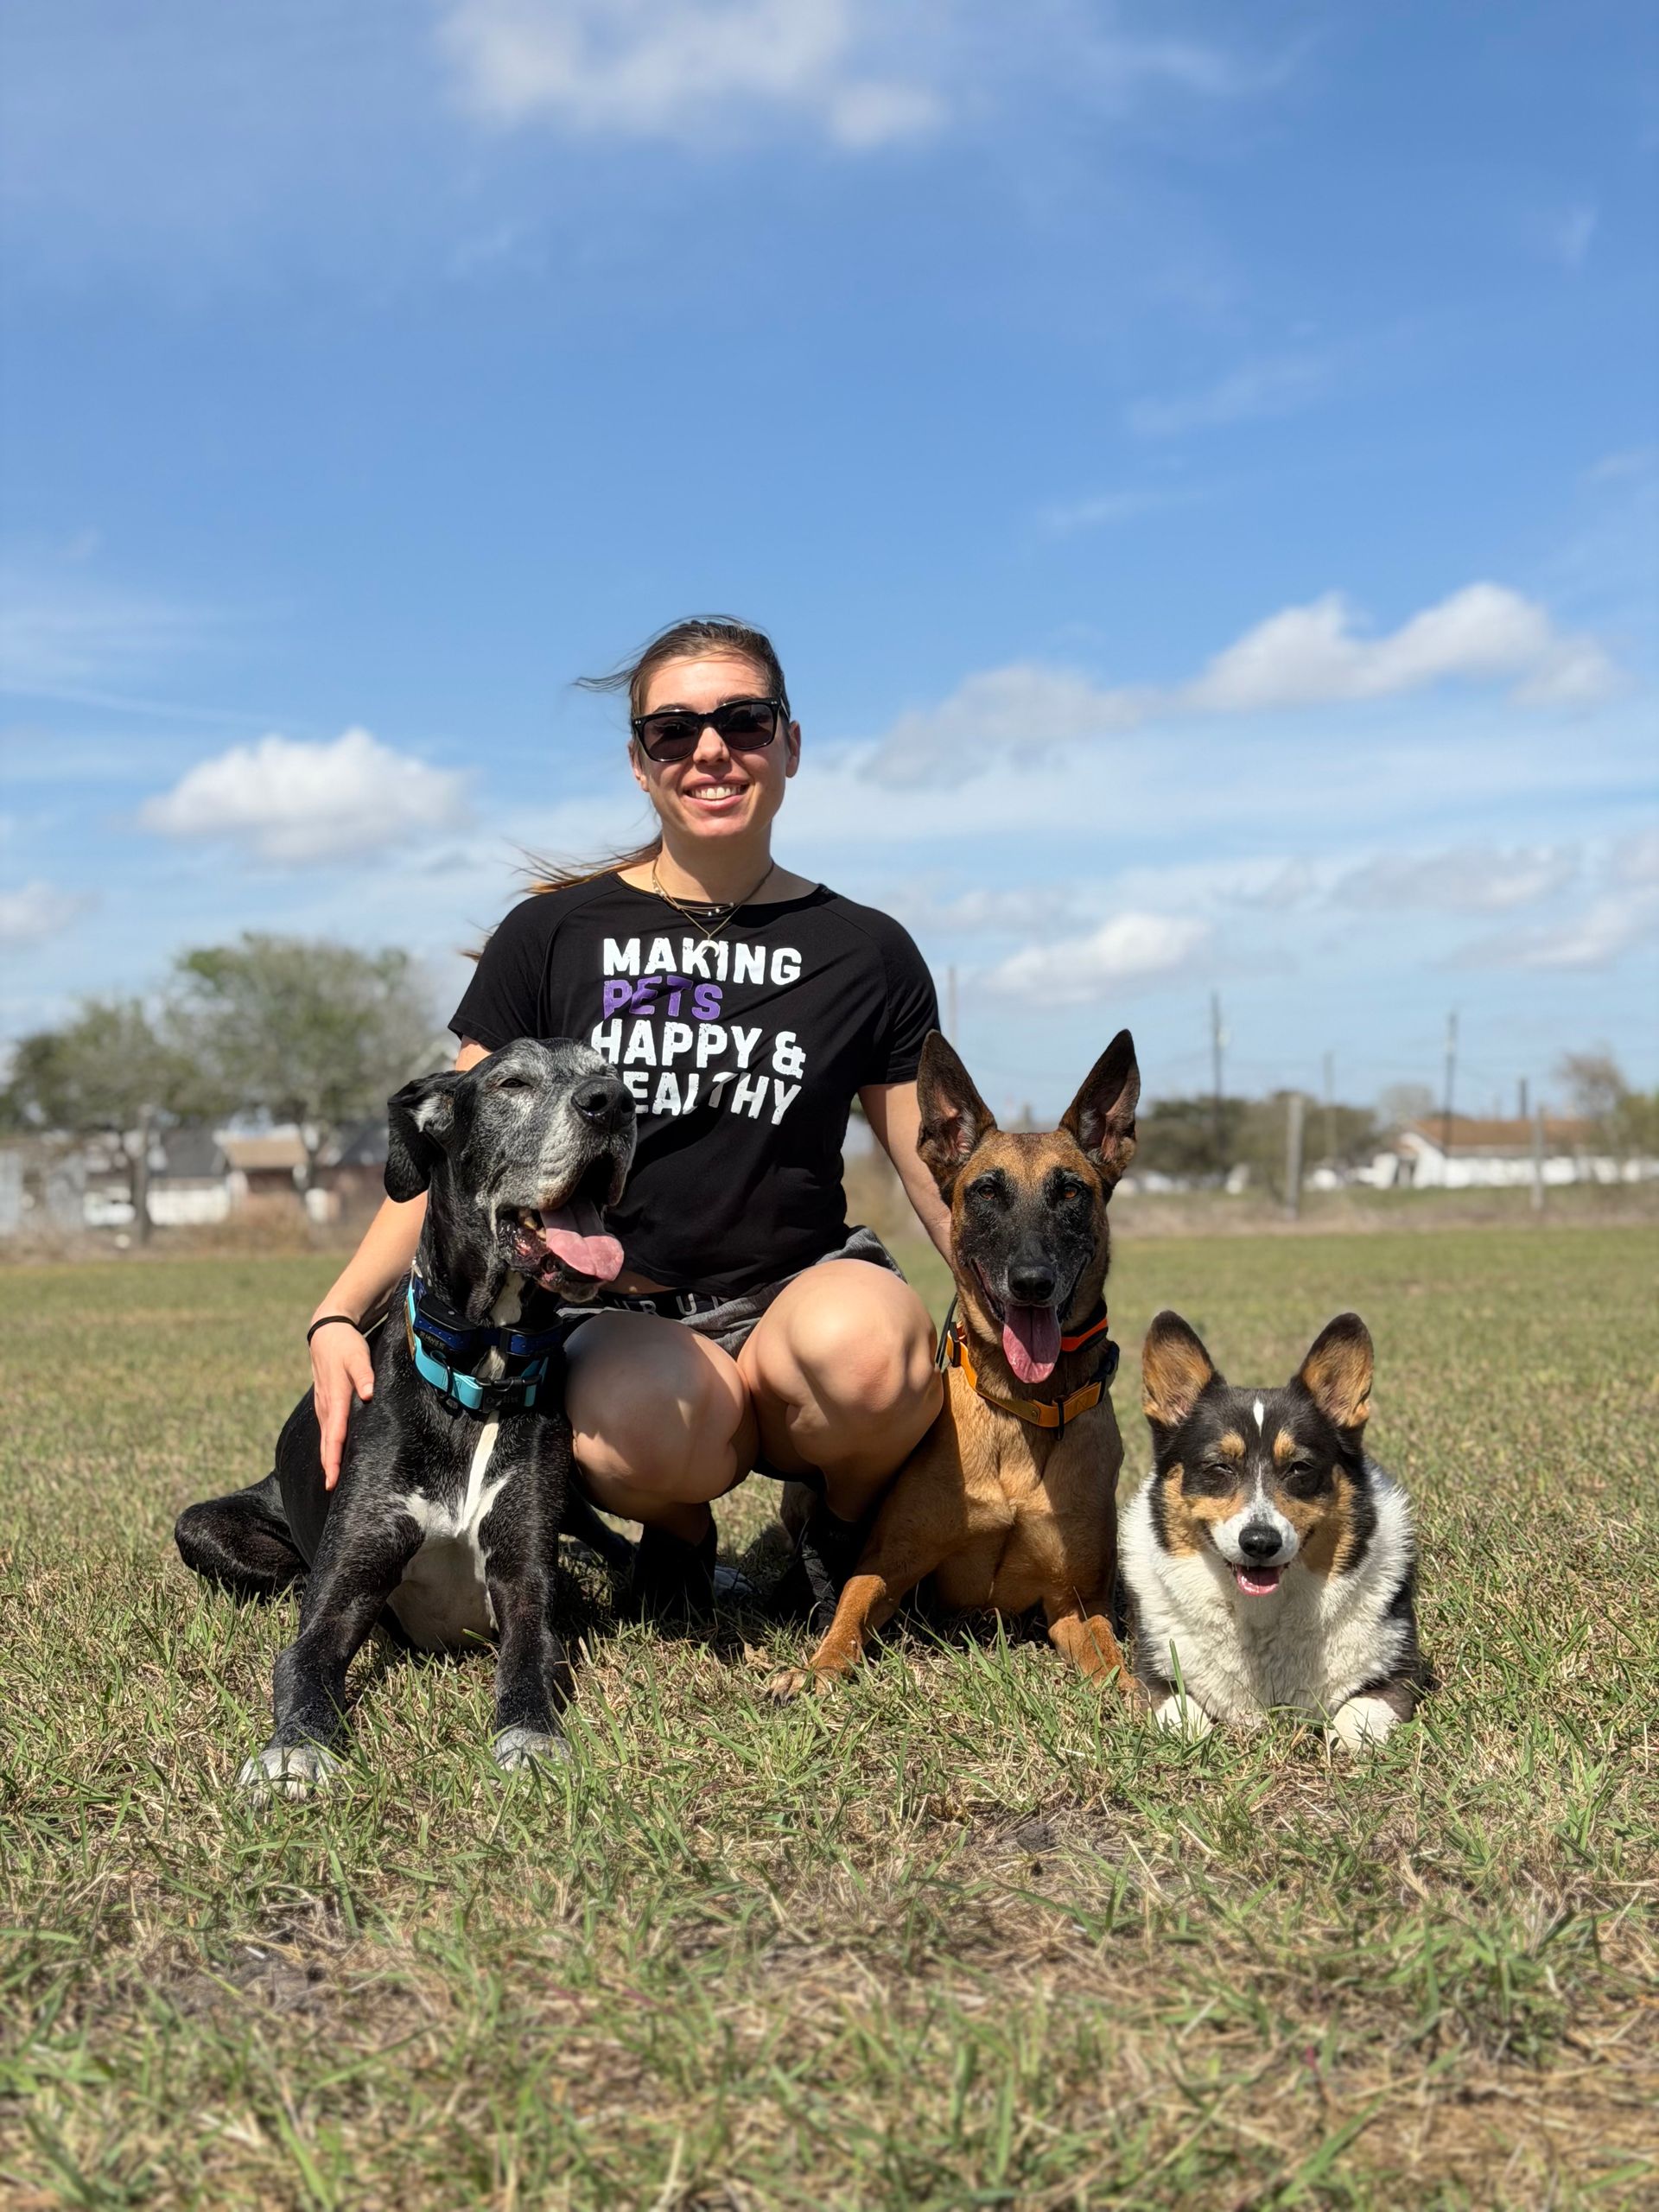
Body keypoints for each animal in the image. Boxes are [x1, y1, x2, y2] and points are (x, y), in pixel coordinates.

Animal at [225, 1038, 635, 1794]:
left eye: (612, 1074)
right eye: (511, 1083)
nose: (613, 1104)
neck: (479, 1375)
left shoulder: (524, 1577)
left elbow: (529, 1656)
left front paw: (532, 1738)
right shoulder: (344, 1585)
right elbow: (303, 1660)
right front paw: (294, 1750)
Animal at [769, 1028, 1139, 1698]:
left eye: (1070, 1191)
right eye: (987, 1191)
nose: (1032, 1283)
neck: (1020, 1410)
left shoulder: (1075, 1602)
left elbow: (1107, 1652)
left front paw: (1136, 1692)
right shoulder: (889, 1566)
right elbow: (848, 1616)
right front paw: (814, 1669)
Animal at [1119, 1310, 1427, 1750]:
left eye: (1299, 1467)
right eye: (1220, 1466)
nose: (1260, 1543)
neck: (1262, 1614)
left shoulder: (1400, 1675)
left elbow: (1357, 1717)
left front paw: (1344, 1738)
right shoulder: (1152, 1677)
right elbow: (1183, 1715)